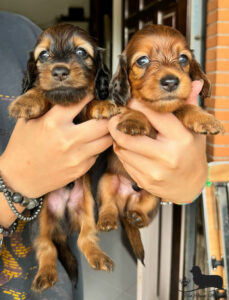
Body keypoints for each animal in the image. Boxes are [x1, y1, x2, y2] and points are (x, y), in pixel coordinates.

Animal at [8, 24, 118, 292]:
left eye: (81, 52)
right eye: (44, 55)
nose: (59, 71)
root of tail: (63, 223)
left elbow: (91, 100)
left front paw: (101, 103)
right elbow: (40, 89)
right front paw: (27, 100)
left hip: (88, 208)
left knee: (85, 239)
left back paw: (98, 257)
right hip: (38, 222)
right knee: (46, 248)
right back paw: (45, 275)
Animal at [96, 24, 224, 262]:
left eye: (183, 58)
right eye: (142, 60)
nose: (171, 81)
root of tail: (126, 201)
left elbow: (184, 106)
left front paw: (204, 118)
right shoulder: (119, 109)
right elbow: (130, 109)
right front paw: (135, 120)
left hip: (153, 196)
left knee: (142, 213)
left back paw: (137, 217)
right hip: (106, 181)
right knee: (108, 204)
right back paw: (107, 220)